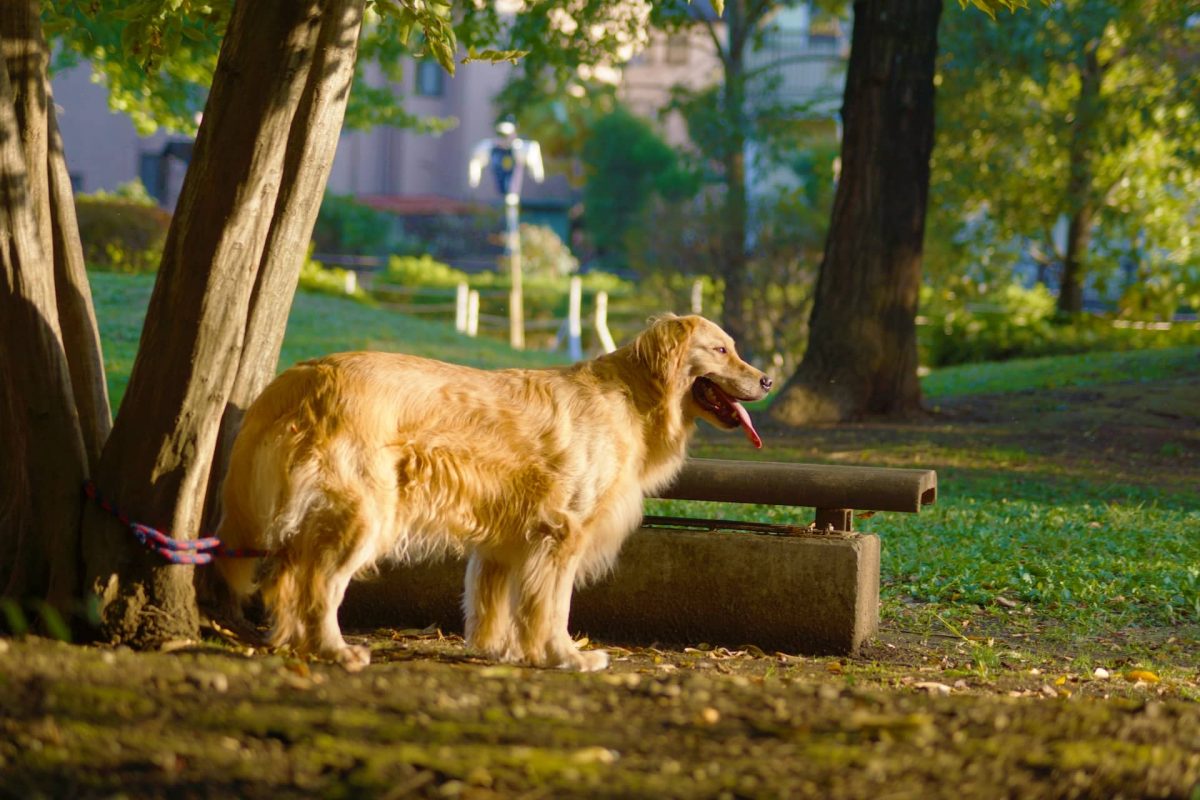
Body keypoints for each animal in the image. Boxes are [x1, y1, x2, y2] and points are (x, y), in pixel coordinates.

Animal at [214, 311, 768, 671]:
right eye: (722, 349)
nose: (766, 379)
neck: (633, 397)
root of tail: (300, 376)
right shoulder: (561, 531)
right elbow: (554, 606)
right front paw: (564, 655)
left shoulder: (507, 536)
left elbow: (494, 603)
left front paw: (504, 651)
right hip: (365, 514)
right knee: (319, 586)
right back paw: (334, 649)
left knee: (287, 580)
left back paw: (292, 643)